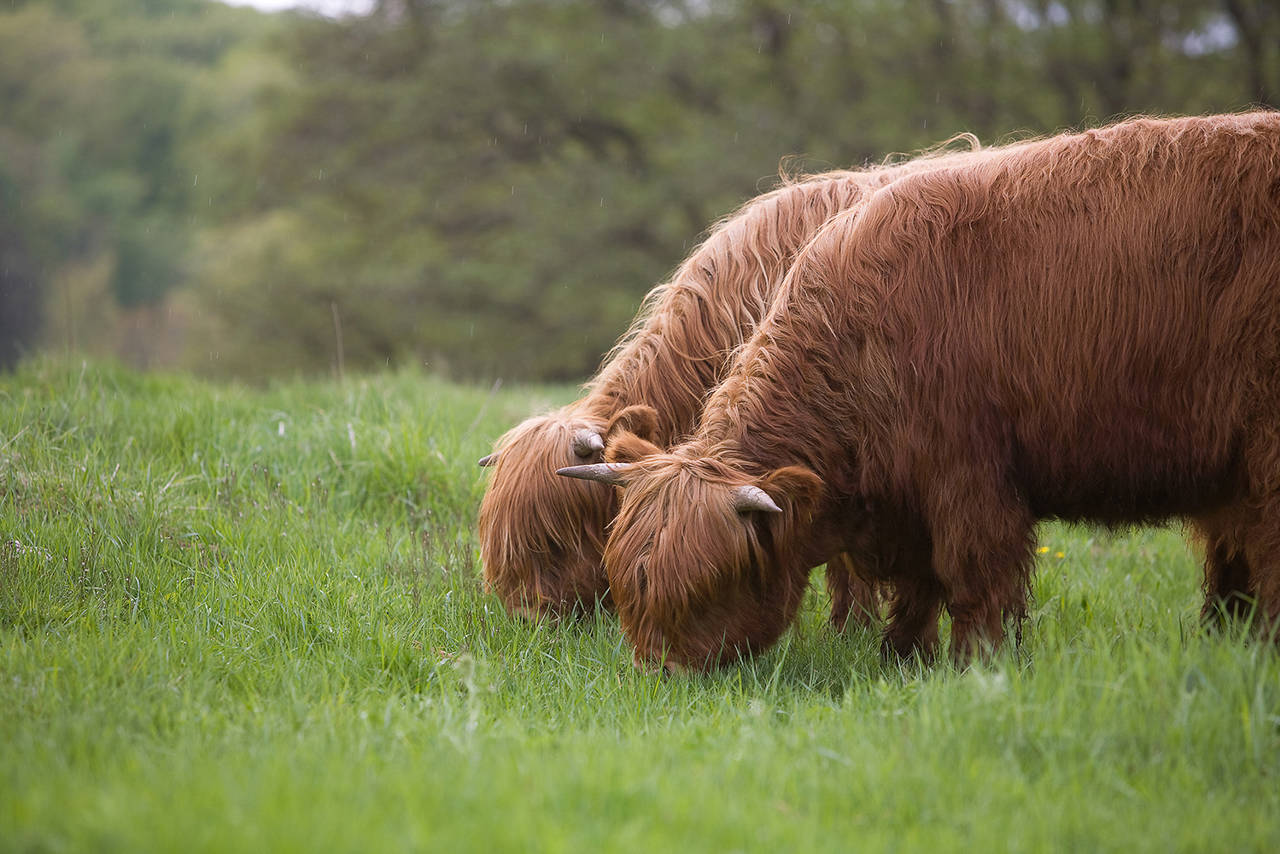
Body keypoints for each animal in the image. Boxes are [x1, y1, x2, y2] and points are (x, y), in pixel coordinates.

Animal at [559, 112, 1280, 671]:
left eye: (702, 587)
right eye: (629, 586)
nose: (661, 675)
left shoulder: (968, 477)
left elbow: (972, 577)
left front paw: (976, 663)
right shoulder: (901, 498)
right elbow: (915, 587)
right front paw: (901, 656)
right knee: (1233, 555)